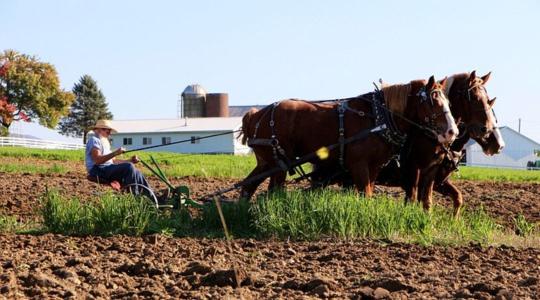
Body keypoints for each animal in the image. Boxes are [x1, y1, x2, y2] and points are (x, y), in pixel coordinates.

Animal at [243, 75, 458, 199]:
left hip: (266, 162)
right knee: (272, 190)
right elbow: (365, 194)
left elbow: (368, 193)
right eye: (433, 101)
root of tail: (256, 114)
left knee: (248, 186)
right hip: (278, 163)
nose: (452, 132)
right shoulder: (359, 165)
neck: (377, 117)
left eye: (448, 101)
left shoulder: (374, 167)